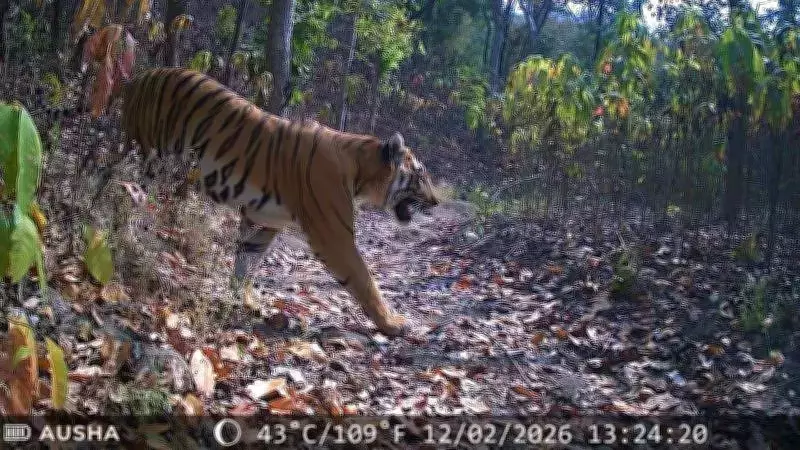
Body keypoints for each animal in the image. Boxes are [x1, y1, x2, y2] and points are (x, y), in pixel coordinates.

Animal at [118, 67, 440, 336]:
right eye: (421, 174)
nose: (436, 202)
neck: (360, 172)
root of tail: (141, 76)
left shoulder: (263, 220)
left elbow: (247, 262)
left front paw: (245, 301)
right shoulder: (334, 237)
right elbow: (365, 280)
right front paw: (392, 323)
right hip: (145, 158)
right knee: (124, 195)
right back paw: (128, 243)